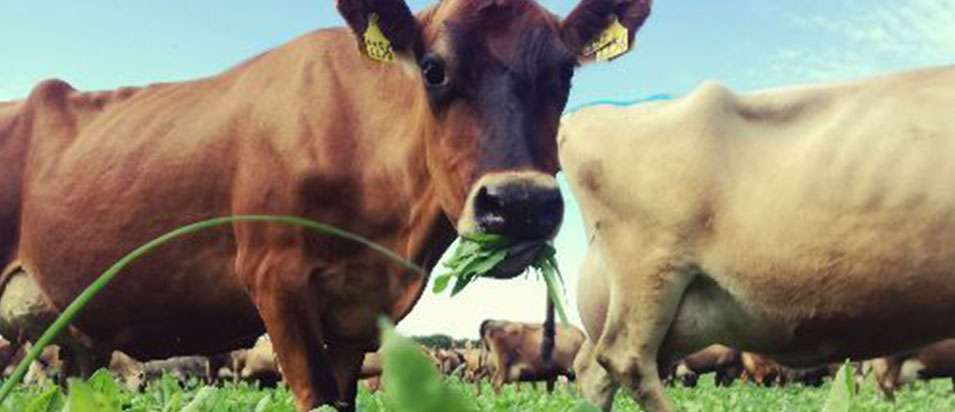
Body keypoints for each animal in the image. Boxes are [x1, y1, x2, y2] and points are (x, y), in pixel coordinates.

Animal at [0, 0, 653, 409]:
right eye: (433, 70)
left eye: (565, 73)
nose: (518, 204)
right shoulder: (274, 279)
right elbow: (313, 397)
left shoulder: (359, 310)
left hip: (74, 339)